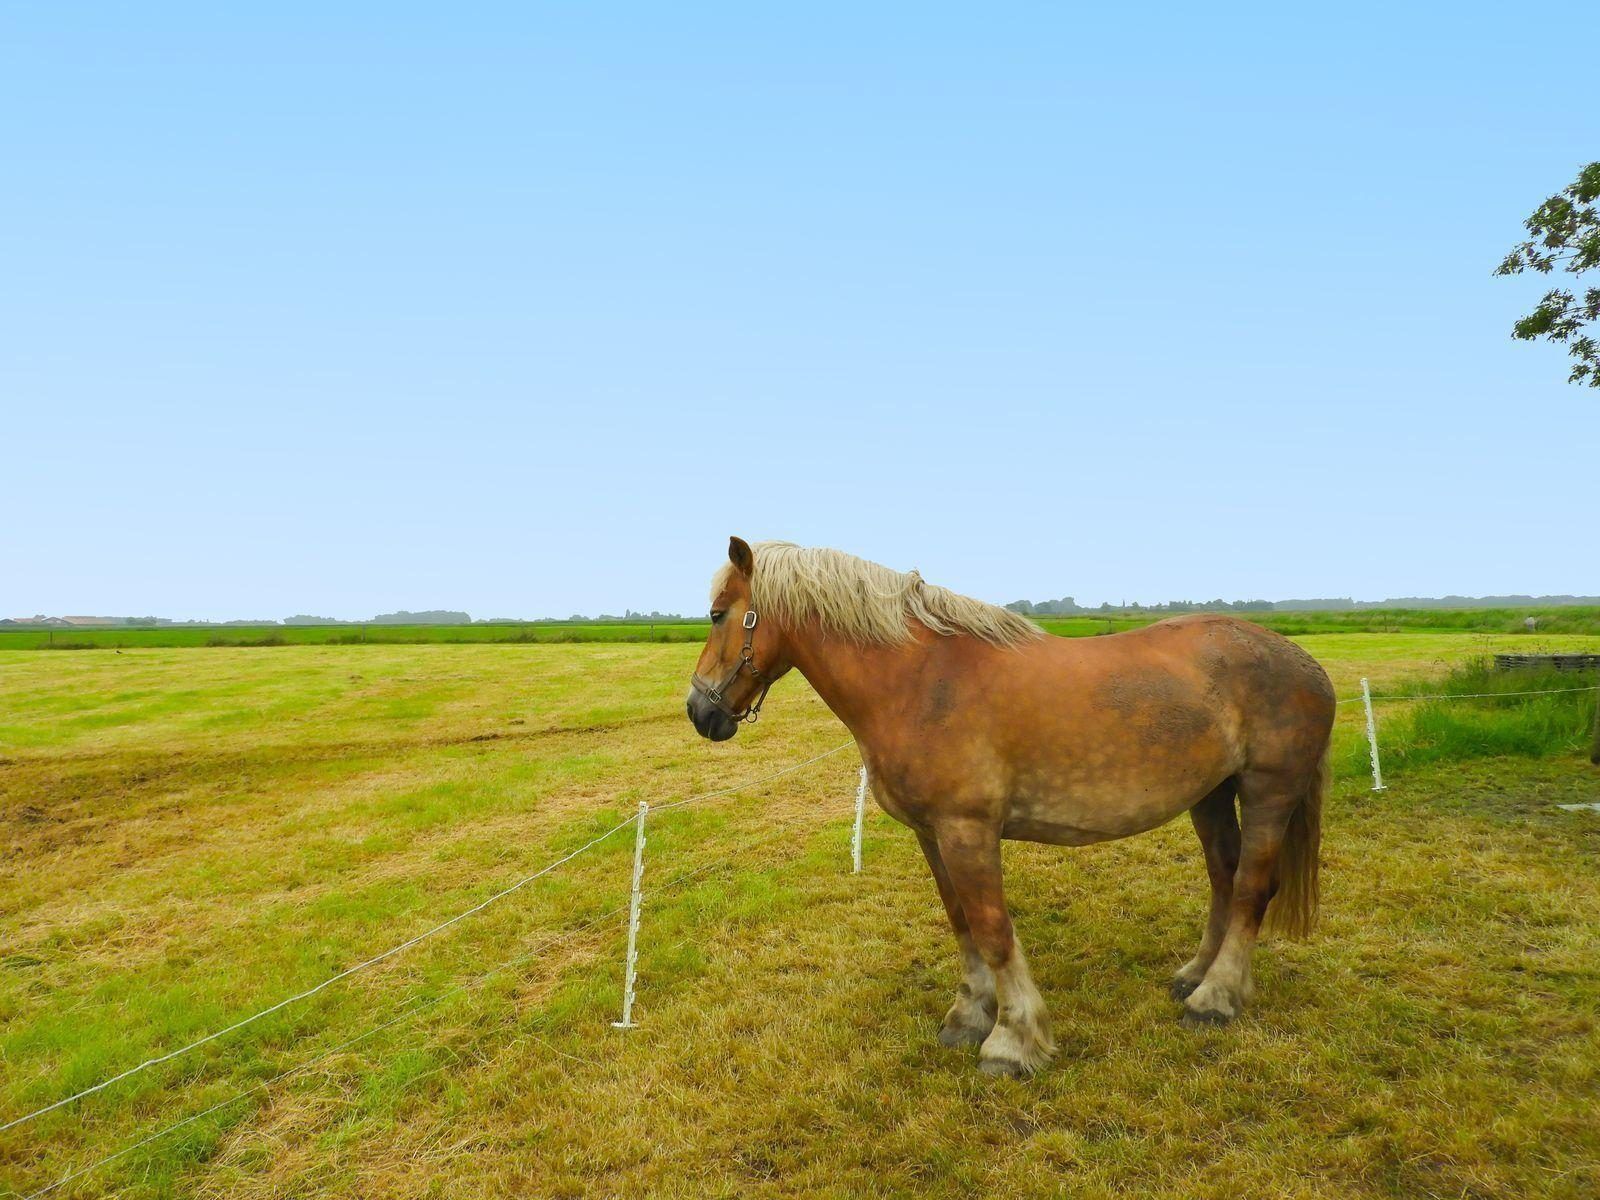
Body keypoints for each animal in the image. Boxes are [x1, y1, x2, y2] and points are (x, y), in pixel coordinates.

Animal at [686, 538, 1335, 1078]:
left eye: (717, 614)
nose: (699, 710)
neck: (920, 682)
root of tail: (1307, 665)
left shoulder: (967, 831)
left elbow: (994, 930)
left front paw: (1012, 1041)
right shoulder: (932, 834)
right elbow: (962, 923)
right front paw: (969, 1017)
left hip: (1268, 791)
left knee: (1251, 888)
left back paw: (1215, 999)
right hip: (1211, 795)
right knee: (1223, 878)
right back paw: (1195, 977)